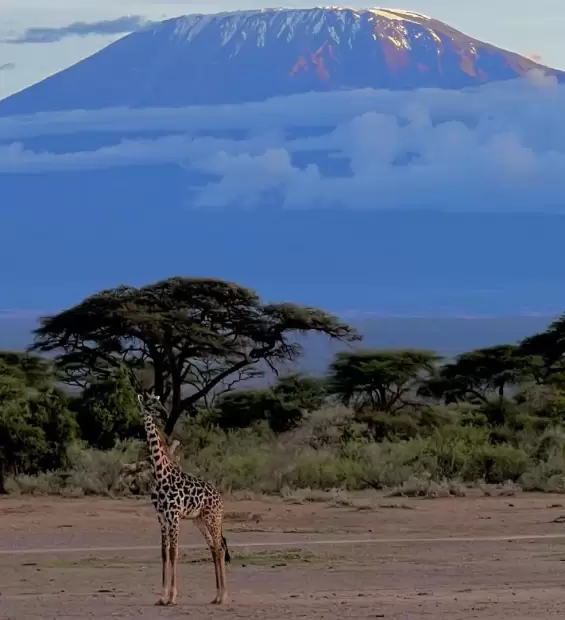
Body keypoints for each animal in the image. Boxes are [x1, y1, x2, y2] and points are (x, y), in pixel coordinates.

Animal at [136, 392, 229, 604]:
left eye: (159, 401)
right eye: (150, 403)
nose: (164, 413)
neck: (160, 473)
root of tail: (220, 499)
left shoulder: (175, 516)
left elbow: (174, 553)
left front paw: (172, 596)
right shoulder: (162, 518)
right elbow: (164, 554)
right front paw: (162, 596)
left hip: (213, 518)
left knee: (220, 548)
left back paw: (223, 596)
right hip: (199, 520)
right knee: (213, 548)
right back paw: (216, 595)